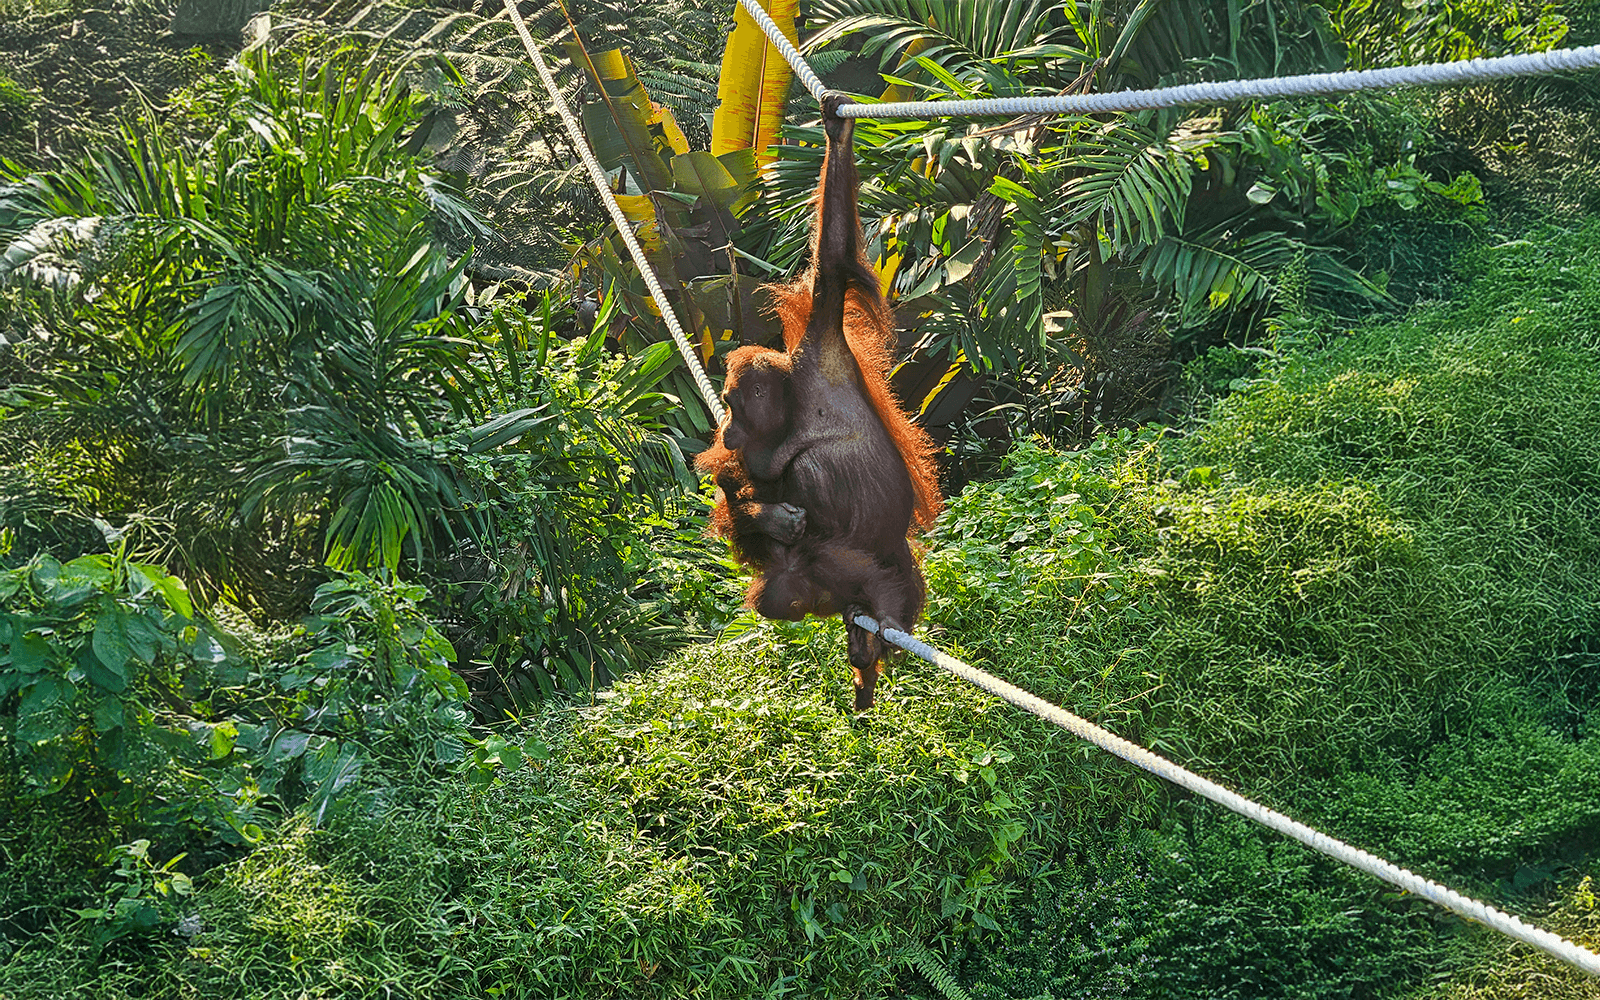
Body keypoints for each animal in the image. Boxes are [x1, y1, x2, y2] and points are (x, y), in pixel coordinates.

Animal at [696, 91, 942, 711]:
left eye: (734, 403)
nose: (726, 428)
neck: (794, 412)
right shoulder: (754, 453)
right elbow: (734, 487)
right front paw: (761, 511)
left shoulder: (823, 347)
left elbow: (831, 263)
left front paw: (837, 131)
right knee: (781, 583)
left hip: (895, 570)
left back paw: (872, 636)